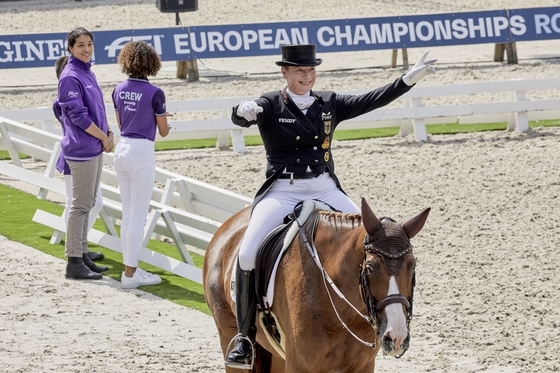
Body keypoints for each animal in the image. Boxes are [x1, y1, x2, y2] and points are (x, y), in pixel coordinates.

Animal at [203, 196, 430, 370]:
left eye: (412, 266)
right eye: (370, 267)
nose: (397, 337)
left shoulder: (362, 367)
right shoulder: (300, 365)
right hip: (228, 334)